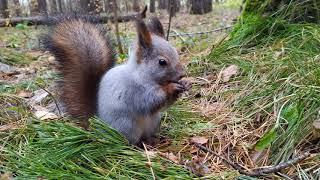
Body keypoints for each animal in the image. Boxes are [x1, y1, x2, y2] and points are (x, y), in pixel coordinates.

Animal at [43, 13, 191, 145]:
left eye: (176, 52)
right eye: (162, 62)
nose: (182, 74)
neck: (142, 75)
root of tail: (99, 126)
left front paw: (186, 83)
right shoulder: (134, 91)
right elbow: (150, 101)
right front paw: (171, 88)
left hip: (154, 122)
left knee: (147, 135)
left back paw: (154, 140)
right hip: (127, 125)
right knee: (129, 141)